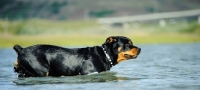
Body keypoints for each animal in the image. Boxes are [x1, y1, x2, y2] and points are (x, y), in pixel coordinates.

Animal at [13, 35, 141, 77]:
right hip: (41, 71)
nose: (140, 49)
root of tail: (21, 49)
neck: (104, 55)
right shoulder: (88, 72)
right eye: (127, 44)